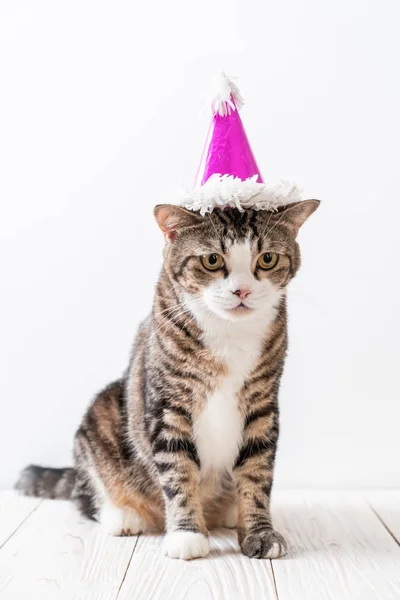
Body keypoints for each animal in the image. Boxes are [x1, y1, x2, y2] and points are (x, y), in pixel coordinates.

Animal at [16, 199, 318, 560]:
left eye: (267, 259)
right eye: (212, 260)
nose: (242, 290)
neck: (228, 333)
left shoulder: (262, 404)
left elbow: (257, 472)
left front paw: (260, 532)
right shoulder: (168, 403)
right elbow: (177, 469)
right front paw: (186, 534)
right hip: (104, 411)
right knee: (88, 495)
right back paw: (122, 514)